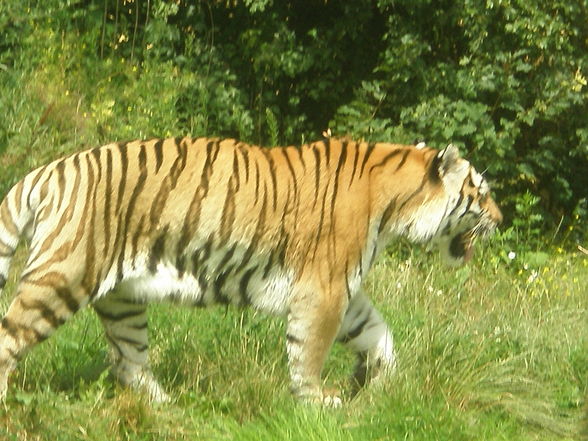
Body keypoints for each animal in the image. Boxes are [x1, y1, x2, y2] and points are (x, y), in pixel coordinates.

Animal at [0, 136, 500, 404]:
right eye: (480, 190)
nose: (501, 218)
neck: (396, 205)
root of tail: (48, 171)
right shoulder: (323, 290)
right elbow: (309, 351)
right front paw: (319, 403)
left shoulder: (346, 291)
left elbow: (379, 337)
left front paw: (378, 385)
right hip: (60, 278)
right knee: (10, 338)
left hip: (123, 301)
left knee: (129, 362)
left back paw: (167, 405)